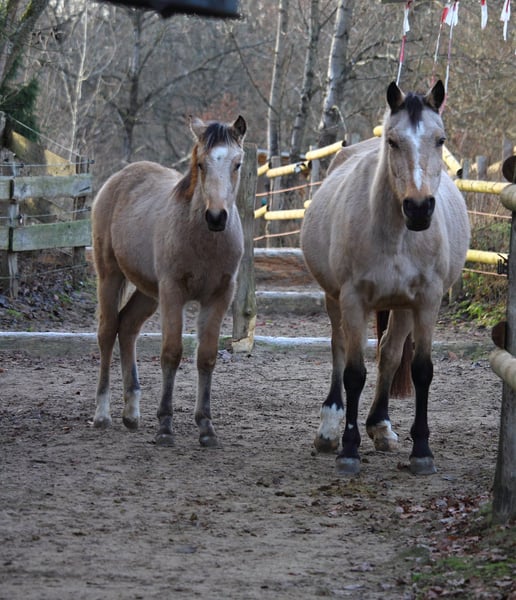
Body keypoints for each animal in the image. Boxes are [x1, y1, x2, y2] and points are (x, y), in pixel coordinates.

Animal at [91, 115, 247, 447]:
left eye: (237, 163)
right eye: (200, 163)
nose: (217, 217)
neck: (203, 240)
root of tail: (119, 178)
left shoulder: (219, 296)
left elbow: (206, 357)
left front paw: (206, 427)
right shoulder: (173, 292)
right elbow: (172, 353)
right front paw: (164, 426)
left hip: (149, 292)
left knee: (128, 327)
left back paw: (131, 414)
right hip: (110, 276)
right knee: (108, 331)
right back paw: (102, 414)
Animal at [300, 80, 470, 475]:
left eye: (440, 140)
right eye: (393, 141)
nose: (419, 208)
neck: (396, 235)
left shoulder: (426, 301)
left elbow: (421, 370)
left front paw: (421, 451)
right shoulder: (352, 299)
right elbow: (353, 373)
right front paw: (348, 449)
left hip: (402, 306)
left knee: (390, 354)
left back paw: (381, 426)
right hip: (334, 299)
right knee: (339, 349)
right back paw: (329, 428)